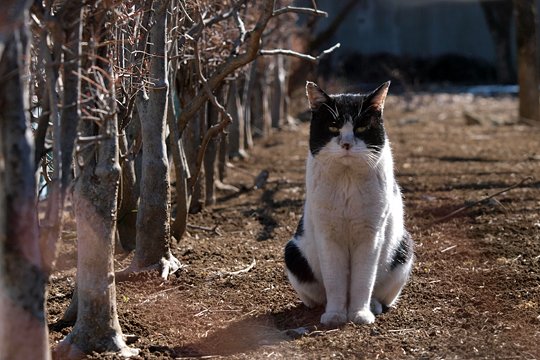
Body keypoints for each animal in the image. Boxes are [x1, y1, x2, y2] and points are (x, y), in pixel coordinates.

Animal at [286, 81, 414, 326]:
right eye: (333, 126)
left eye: (361, 127)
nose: (346, 143)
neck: (347, 180)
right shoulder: (327, 234)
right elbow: (334, 281)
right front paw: (334, 316)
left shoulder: (371, 234)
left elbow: (363, 280)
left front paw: (360, 314)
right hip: (292, 252)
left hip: (405, 248)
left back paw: (373, 306)